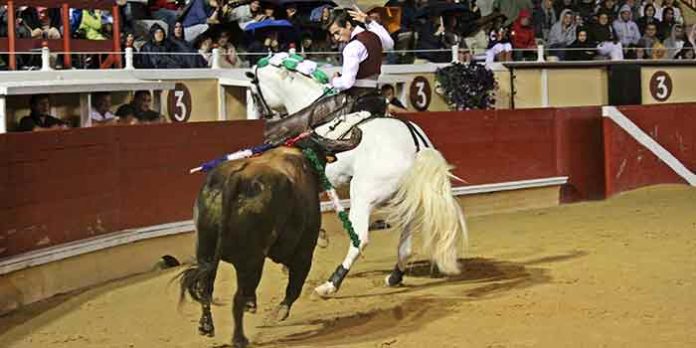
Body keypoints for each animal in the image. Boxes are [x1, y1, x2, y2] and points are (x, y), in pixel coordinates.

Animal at [177, 143, 324, 346]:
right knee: (237, 296)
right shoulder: (304, 248)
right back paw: (240, 338)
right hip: (252, 259)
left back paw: (206, 327)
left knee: (206, 287)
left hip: (205, 250)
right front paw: (280, 311)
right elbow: (296, 281)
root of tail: (236, 179)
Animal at [245, 59, 468, 296]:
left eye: (254, 94)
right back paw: (394, 276)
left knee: (359, 238)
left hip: (363, 194)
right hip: (409, 200)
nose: (260, 118)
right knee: (405, 247)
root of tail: (417, 146)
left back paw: (330, 284)